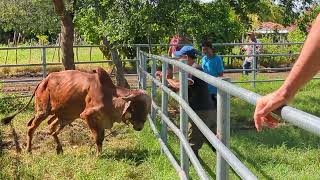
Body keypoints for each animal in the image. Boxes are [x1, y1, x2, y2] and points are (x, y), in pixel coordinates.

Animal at [1, 67, 151, 155]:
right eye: (138, 107)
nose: (140, 126)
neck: (110, 96)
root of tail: (43, 81)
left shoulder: (101, 121)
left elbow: (101, 138)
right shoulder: (87, 116)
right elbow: (98, 138)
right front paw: (98, 155)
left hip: (65, 116)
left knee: (52, 127)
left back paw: (59, 149)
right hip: (42, 111)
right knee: (31, 127)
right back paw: (29, 150)